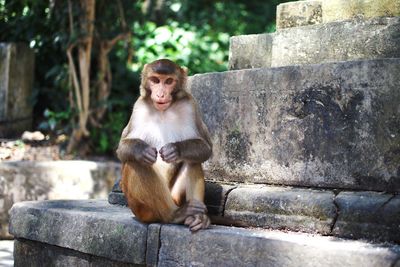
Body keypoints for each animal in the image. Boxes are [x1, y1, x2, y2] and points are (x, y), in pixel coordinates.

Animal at [116, 58, 212, 232]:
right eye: (155, 80)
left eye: (168, 81)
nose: (160, 94)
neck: (162, 111)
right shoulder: (139, 107)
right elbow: (122, 149)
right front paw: (142, 150)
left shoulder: (190, 104)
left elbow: (205, 147)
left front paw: (175, 150)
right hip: (143, 210)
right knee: (136, 163)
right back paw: (174, 215)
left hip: (175, 197)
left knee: (193, 160)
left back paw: (197, 217)